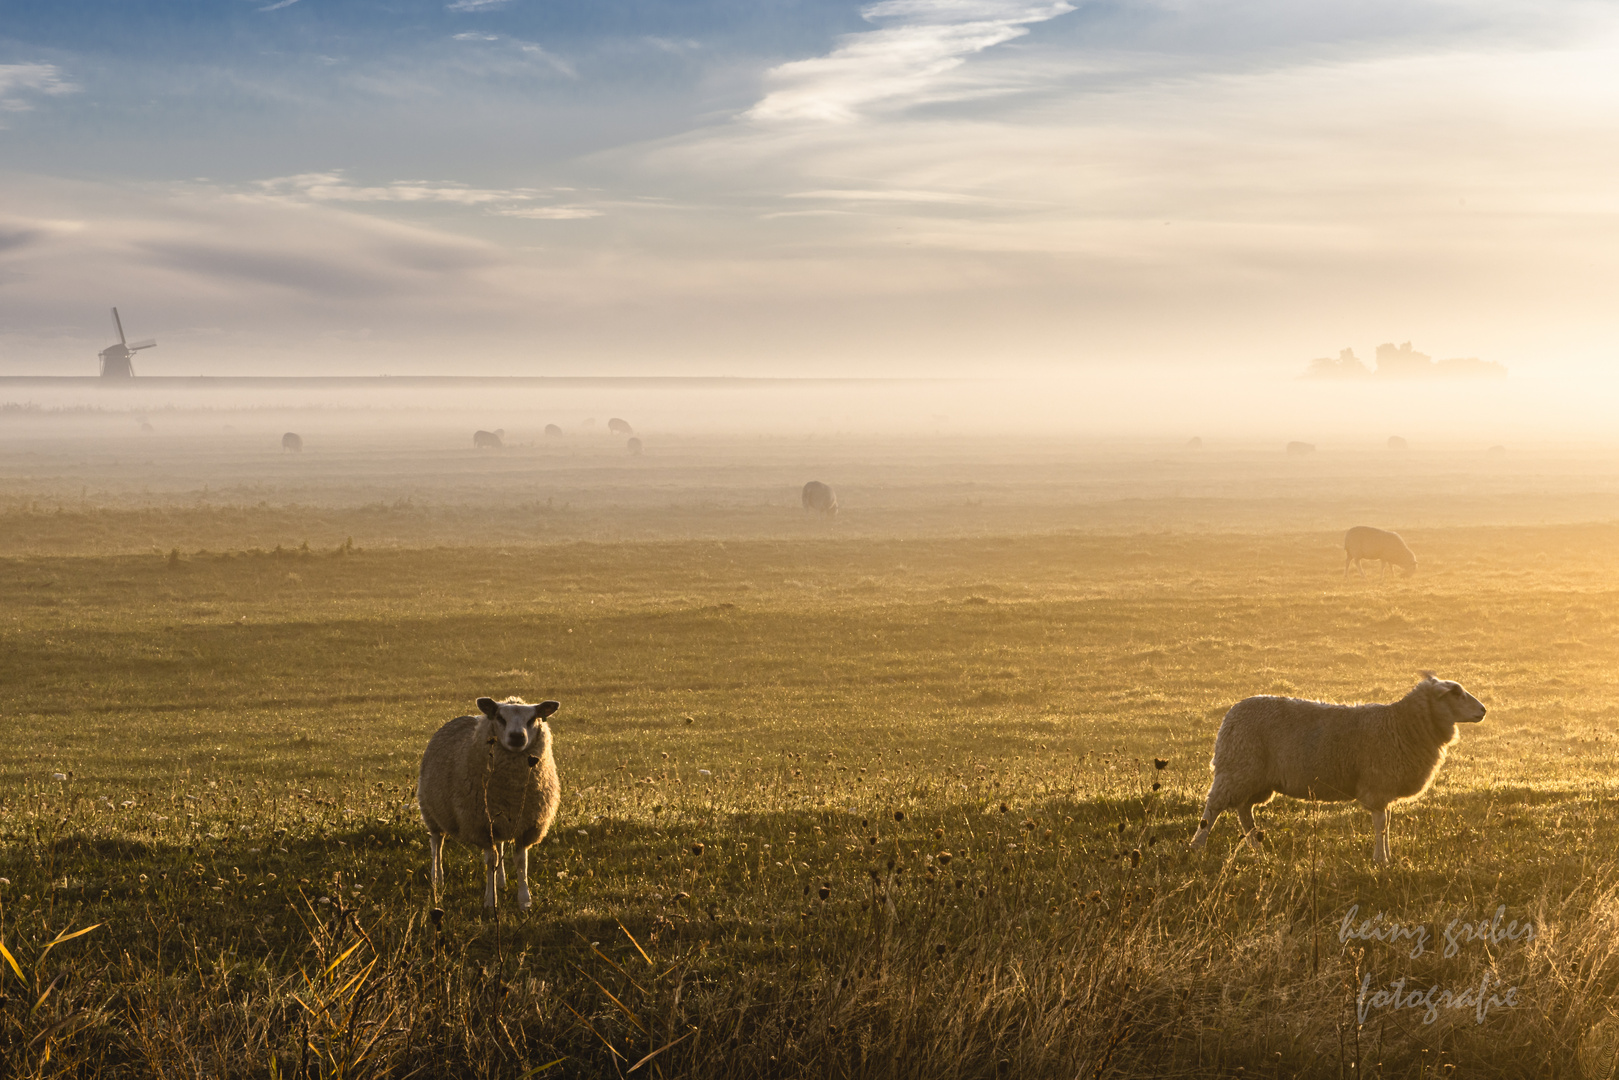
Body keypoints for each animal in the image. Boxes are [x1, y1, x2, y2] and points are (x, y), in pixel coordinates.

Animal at [417, 696, 563, 906]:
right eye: (500, 717)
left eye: (533, 718)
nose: (517, 736)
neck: (512, 791)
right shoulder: (482, 826)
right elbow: (490, 861)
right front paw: (490, 900)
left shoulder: (526, 825)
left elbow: (521, 861)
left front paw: (524, 900)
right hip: (432, 810)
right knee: (437, 844)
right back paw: (437, 879)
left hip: (499, 820)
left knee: (500, 846)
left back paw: (501, 882)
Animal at [1191, 670, 1483, 867]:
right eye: (1456, 693)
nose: (1484, 711)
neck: (1401, 724)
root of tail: (1231, 713)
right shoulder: (1378, 786)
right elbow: (1381, 824)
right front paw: (1380, 860)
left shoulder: (1385, 789)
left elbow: (1386, 824)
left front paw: (1387, 857)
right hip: (1237, 767)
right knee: (1214, 807)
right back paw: (1197, 846)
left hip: (1255, 778)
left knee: (1244, 811)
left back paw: (1258, 850)